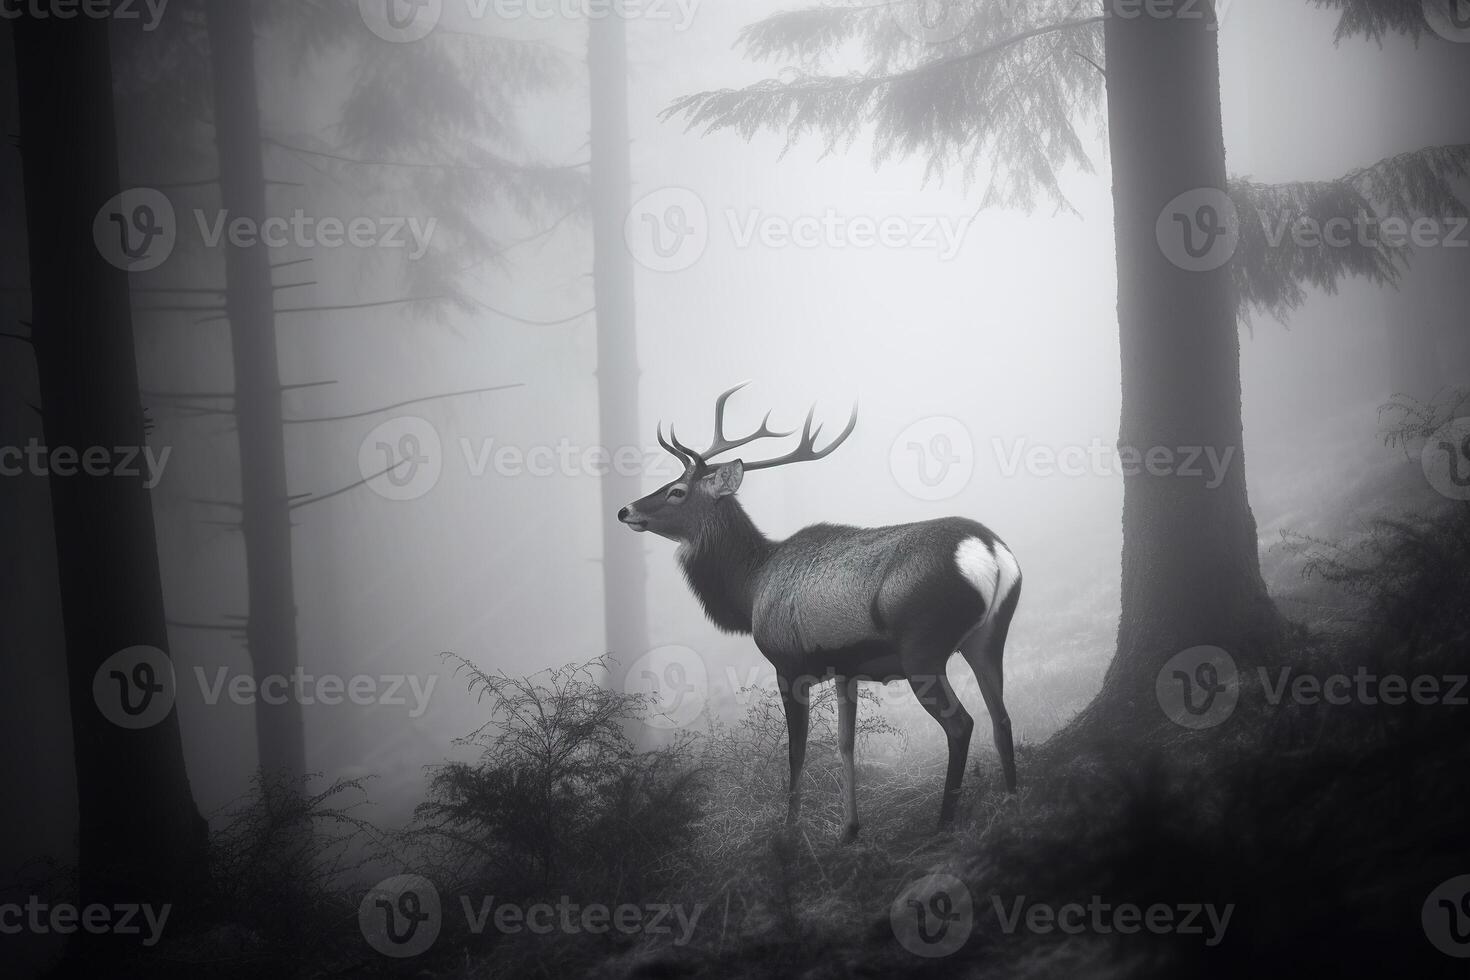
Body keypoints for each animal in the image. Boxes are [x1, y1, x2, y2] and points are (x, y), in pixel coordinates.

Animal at [620, 382, 1023, 846]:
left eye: (677, 491)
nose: (625, 510)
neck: (750, 590)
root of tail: (988, 551)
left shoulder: (788, 664)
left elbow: (797, 752)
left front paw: (789, 830)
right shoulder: (848, 669)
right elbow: (845, 744)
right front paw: (849, 828)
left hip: (923, 648)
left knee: (961, 725)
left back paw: (943, 823)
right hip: (988, 638)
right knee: (1002, 717)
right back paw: (1012, 803)